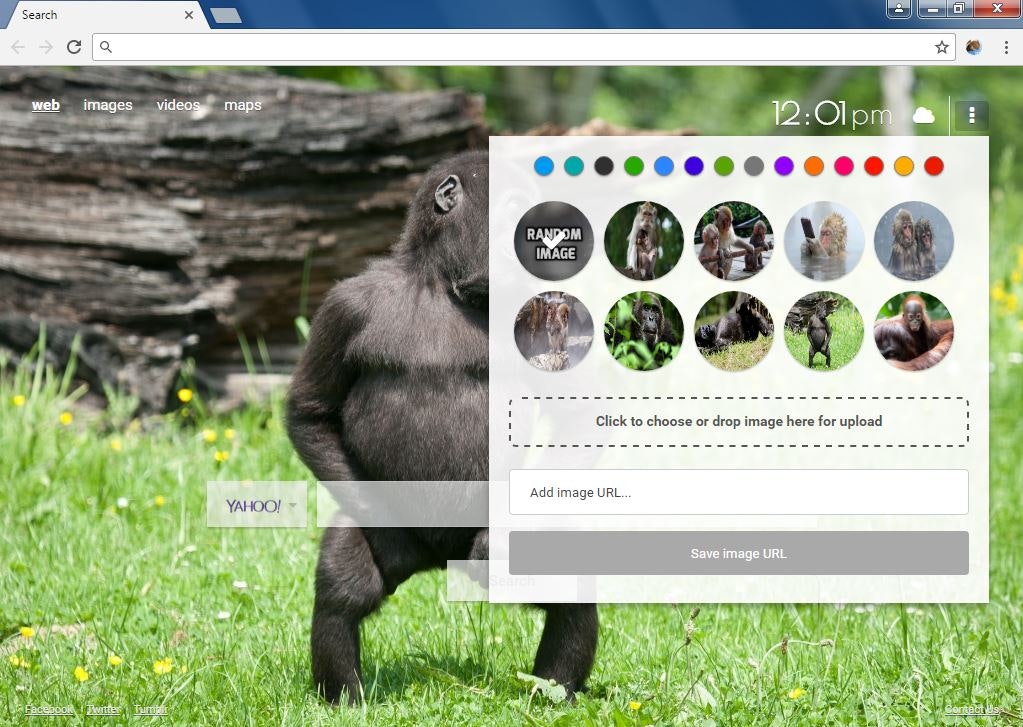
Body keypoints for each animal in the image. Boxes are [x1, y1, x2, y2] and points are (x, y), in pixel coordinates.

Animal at [286, 151, 598, 705]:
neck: (441, 284)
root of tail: (442, 559)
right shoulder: (346, 304)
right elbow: (311, 412)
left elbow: (576, 415)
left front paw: (501, 536)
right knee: (343, 588)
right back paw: (345, 698)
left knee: (569, 583)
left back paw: (552, 694)